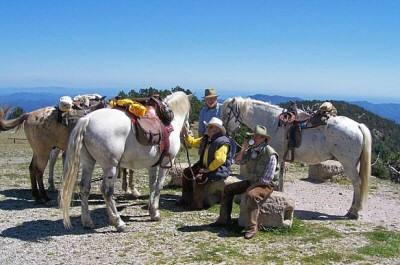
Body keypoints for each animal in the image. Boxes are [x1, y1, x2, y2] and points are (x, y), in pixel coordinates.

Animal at [60, 89, 191, 230]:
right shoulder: (165, 163)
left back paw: (87, 221)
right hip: (111, 166)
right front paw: (155, 213)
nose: (188, 130)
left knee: (84, 188)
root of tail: (87, 119)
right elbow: (159, 186)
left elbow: (152, 185)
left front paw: (151, 210)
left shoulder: (153, 165)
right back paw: (118, 222)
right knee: (107, 191)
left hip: (88, 163)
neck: (171, 122)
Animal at [220, 98, 370, 218]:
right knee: (357, 184)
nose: (226, 132)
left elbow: (277, 176)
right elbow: (281, 177)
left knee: (357, 183)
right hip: (354, 164)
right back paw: (351, 210)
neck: (272, 121)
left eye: (227, 114)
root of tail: (358, 126)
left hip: (348, 164)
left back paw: (354, 212)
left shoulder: (276, 156)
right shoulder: (281, 157)